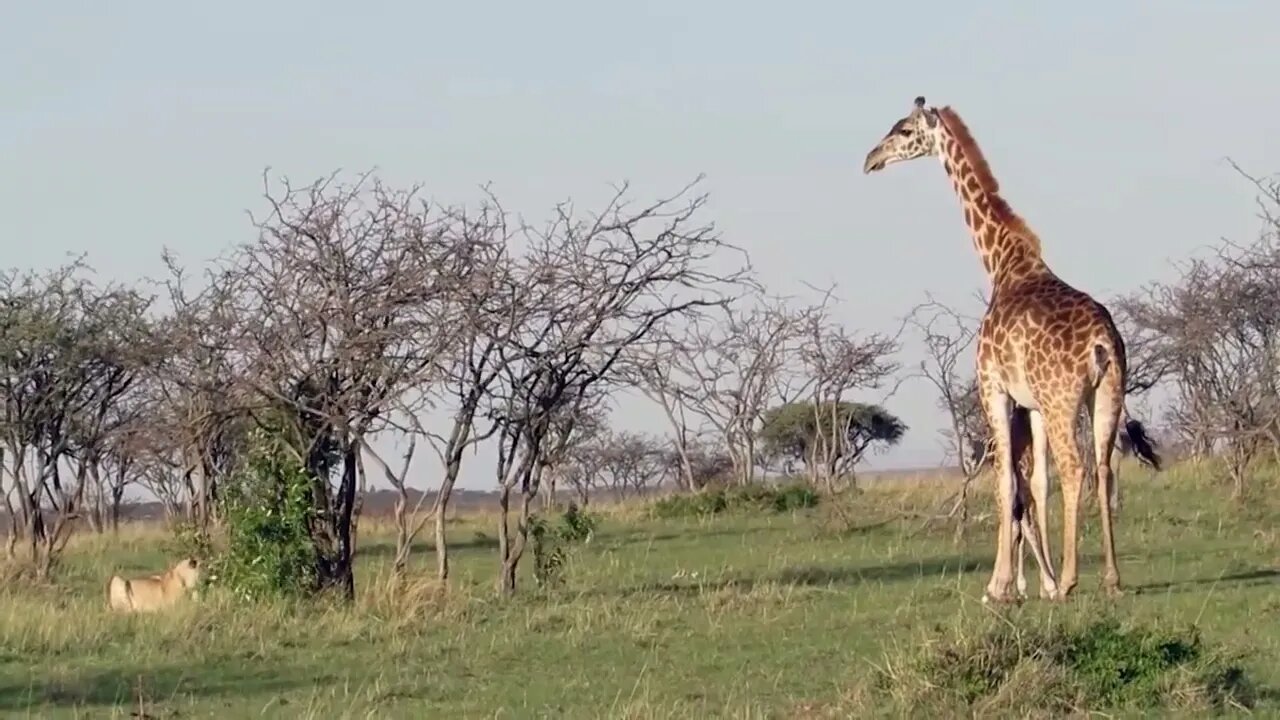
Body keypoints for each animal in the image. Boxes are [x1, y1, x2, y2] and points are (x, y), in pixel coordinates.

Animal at [860, 95, 1162, 599]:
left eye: (903, 131)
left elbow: (1005, 483)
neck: (1001, 260)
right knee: (1103, 469)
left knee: (1076, 468)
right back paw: (1111, 579)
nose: (871, 159)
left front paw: (1000, 587)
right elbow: (1036, 483)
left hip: (1063, 400)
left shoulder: (994, 388)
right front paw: (1041, 584)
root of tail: (1102, 342)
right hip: (1107, 394)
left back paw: (1073, 579)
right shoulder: (1031, 403)